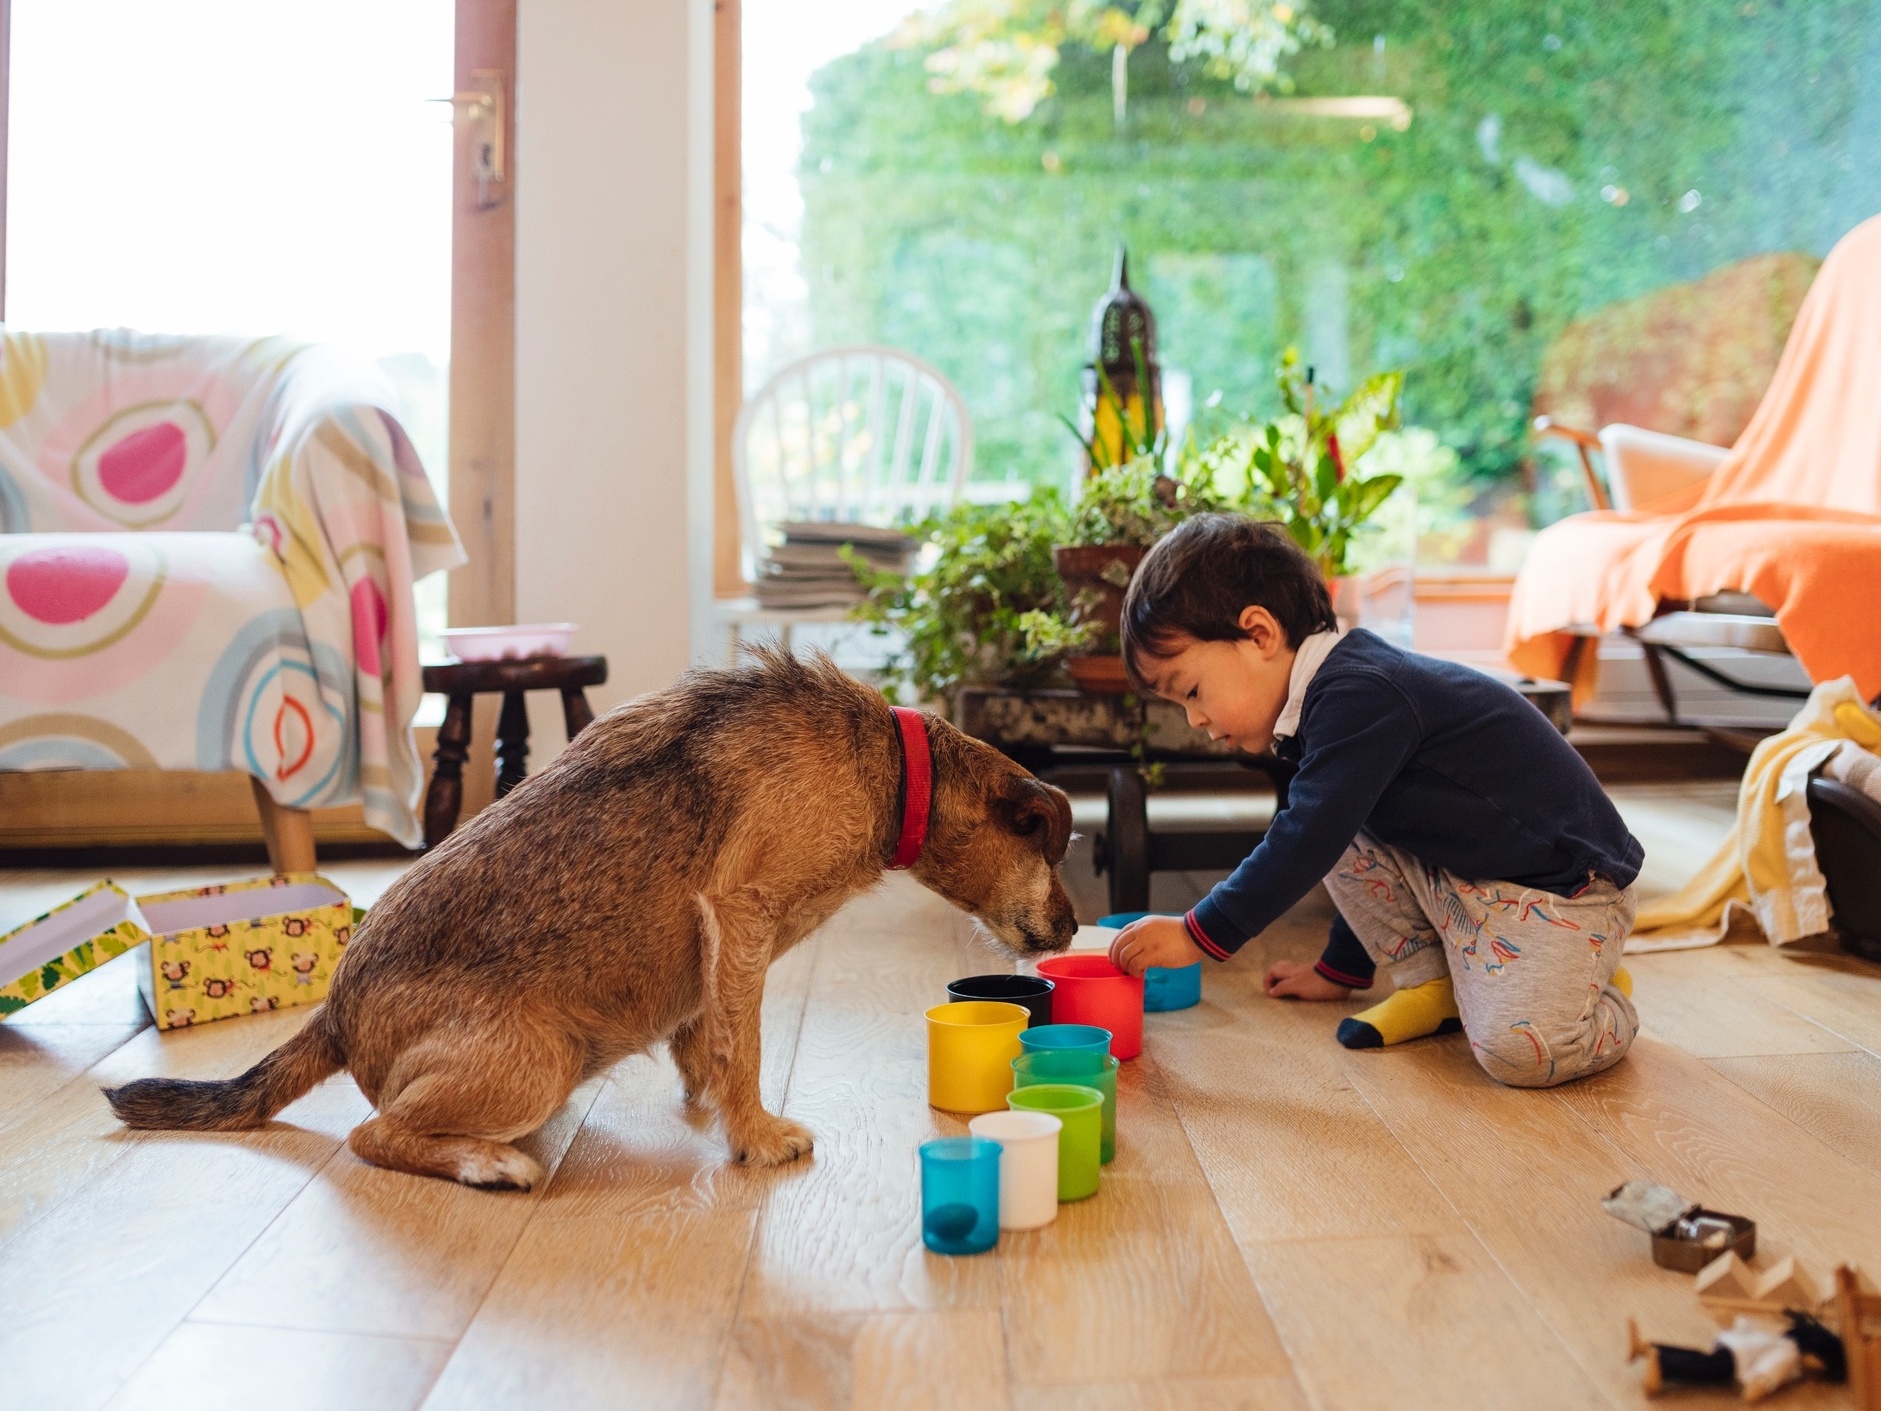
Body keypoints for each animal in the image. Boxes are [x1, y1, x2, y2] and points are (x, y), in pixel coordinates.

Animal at [106, 658, 1075, 1189]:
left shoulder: (718, 953)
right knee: (370, 1135)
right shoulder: (740, 914)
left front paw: (710, 1094)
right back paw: (486, 1162)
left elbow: (705, 1034)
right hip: (538, 1061)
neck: (892, 766)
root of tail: (334, 1015)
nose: (1072, 927)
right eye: (1047, 842)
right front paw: (756, 1133)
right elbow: (744, 1045)